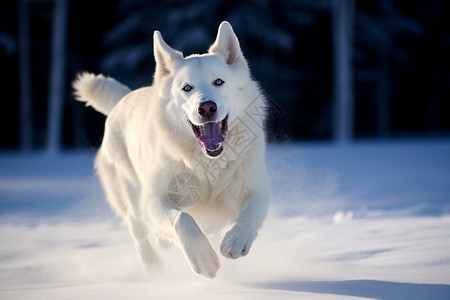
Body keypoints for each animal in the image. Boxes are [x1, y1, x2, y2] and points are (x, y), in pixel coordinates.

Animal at [73, 21, 268, 278]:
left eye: (219, 82)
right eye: (187, 88)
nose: (206, 107)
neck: (207, 165)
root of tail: (123, 99)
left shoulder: (256, 189)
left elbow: (250, 212)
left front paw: (236, 240)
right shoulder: (154, 200)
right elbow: (181, 219)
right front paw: (203, 257)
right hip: (131, 197)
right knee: (139, 233)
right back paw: (153, 266)